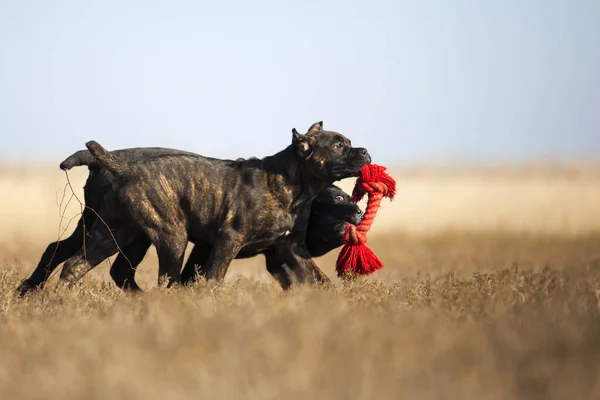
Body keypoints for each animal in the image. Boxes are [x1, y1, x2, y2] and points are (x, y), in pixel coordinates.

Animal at [16, 142, 360, 296]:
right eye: (339, 199)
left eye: (350, 199)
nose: (358, 211)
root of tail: (105, 160)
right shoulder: (208, 246)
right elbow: (195, 276)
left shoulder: (280, 255)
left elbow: (308, 278)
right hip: (142, 235)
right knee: (115, 269)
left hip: (100, 228)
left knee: (60, 250)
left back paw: (29, 290)